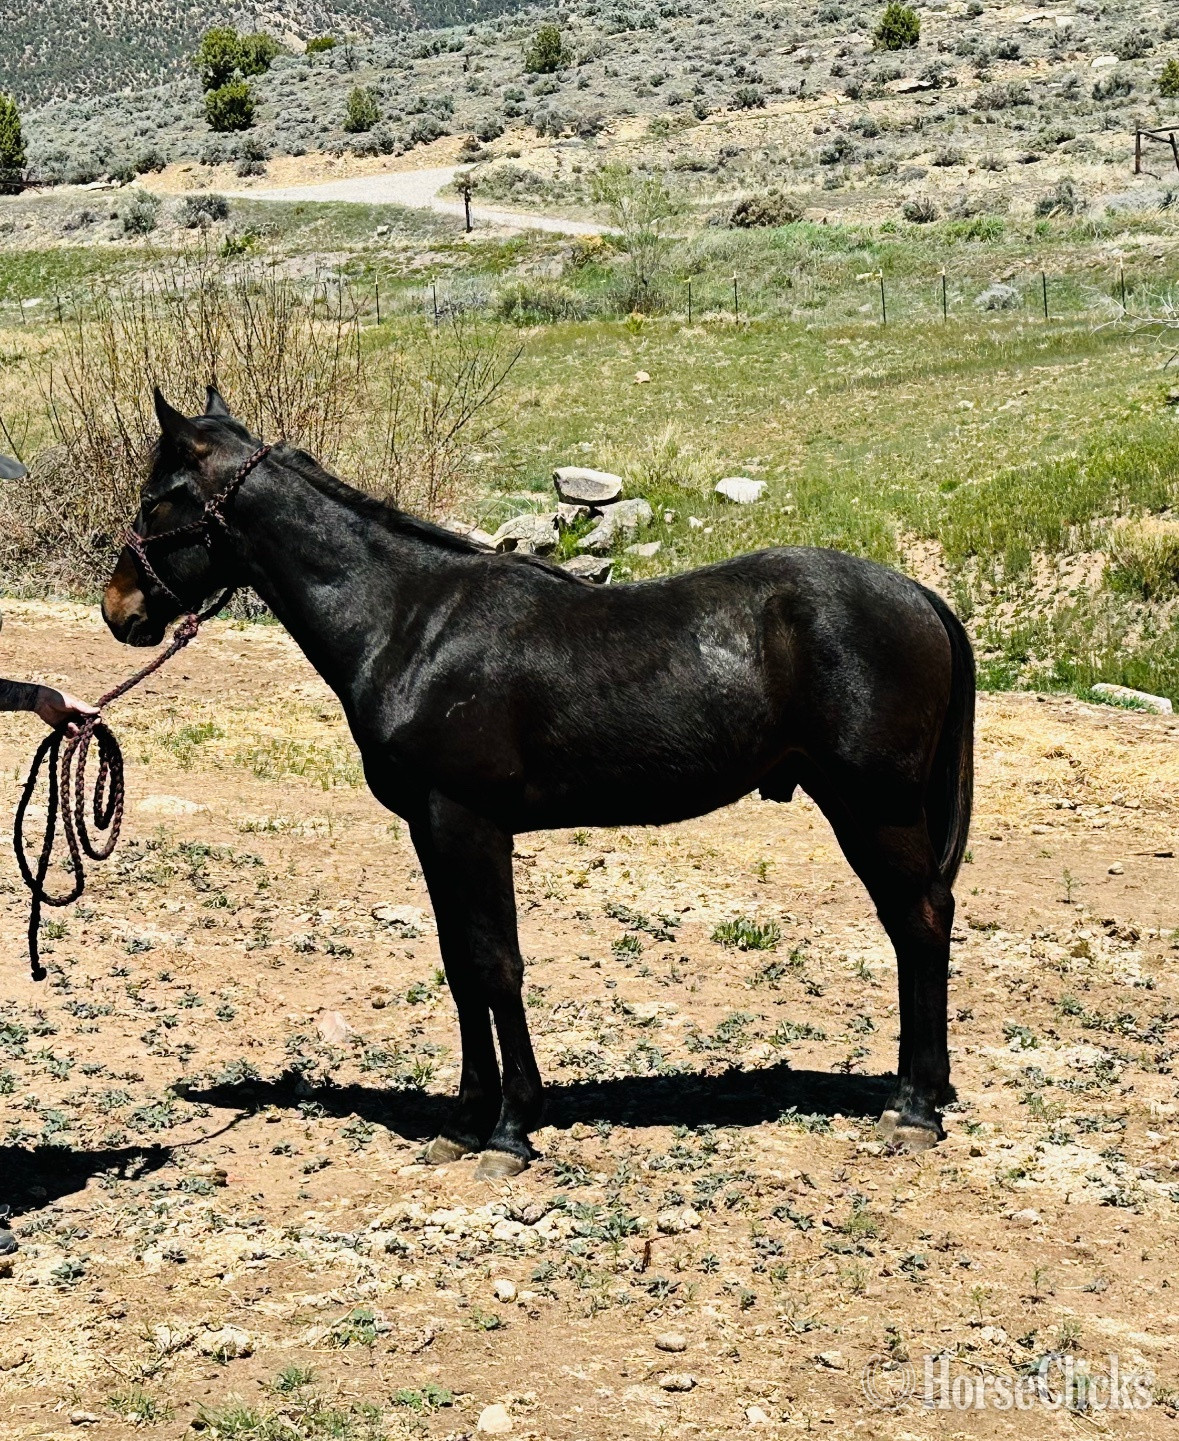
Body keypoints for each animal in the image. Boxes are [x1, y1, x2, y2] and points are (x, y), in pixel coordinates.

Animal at [102, 388, 975, 1179]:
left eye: (157, 499)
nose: (119, 610)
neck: (409, 621)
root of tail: (921, 597)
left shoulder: (467, 821)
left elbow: (496, 964)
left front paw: (510, 1129)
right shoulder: (430, 828)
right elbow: (460, 966)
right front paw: (463, 1122)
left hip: (876, 807)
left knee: (919, 922)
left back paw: (913, 1107)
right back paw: (919, 1093)